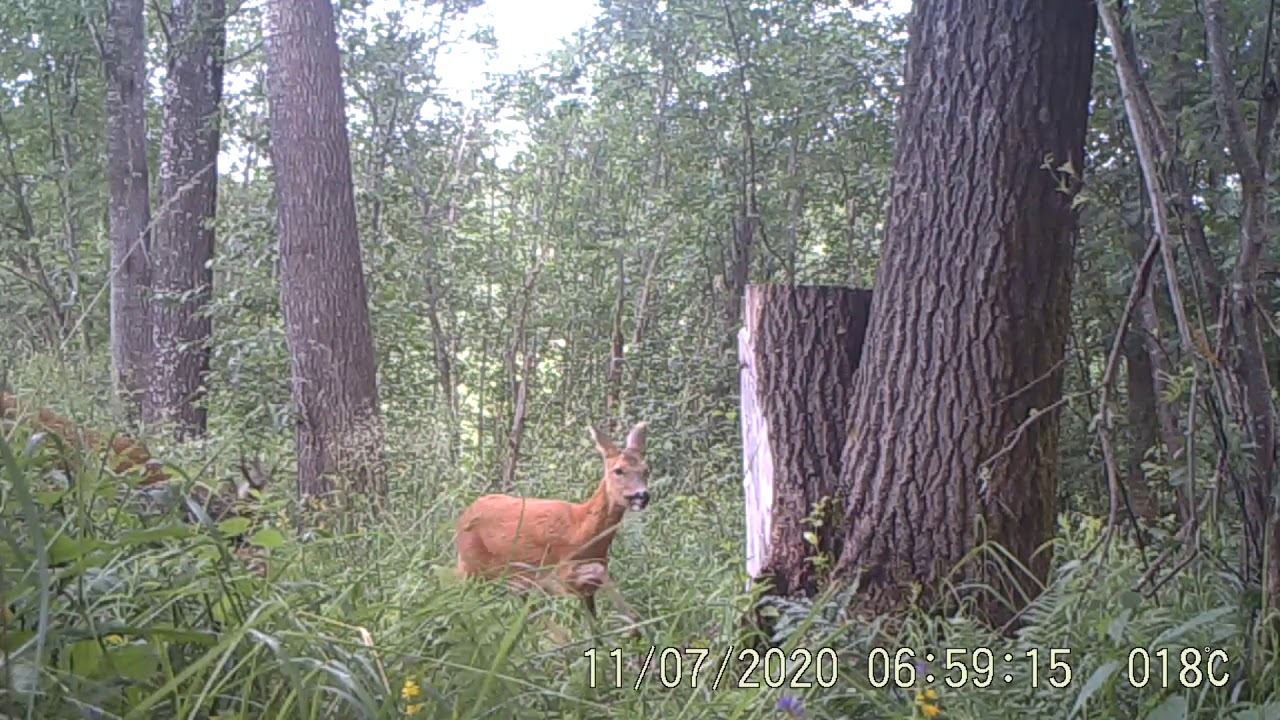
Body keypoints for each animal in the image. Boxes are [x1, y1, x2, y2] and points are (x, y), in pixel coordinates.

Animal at [455, 420, 650, 617]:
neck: (581, 530)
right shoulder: (558, 574)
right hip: (471, 565)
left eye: (646, 470)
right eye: (619, 470)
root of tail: (465, 515)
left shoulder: (584, 591)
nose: (642, 495)